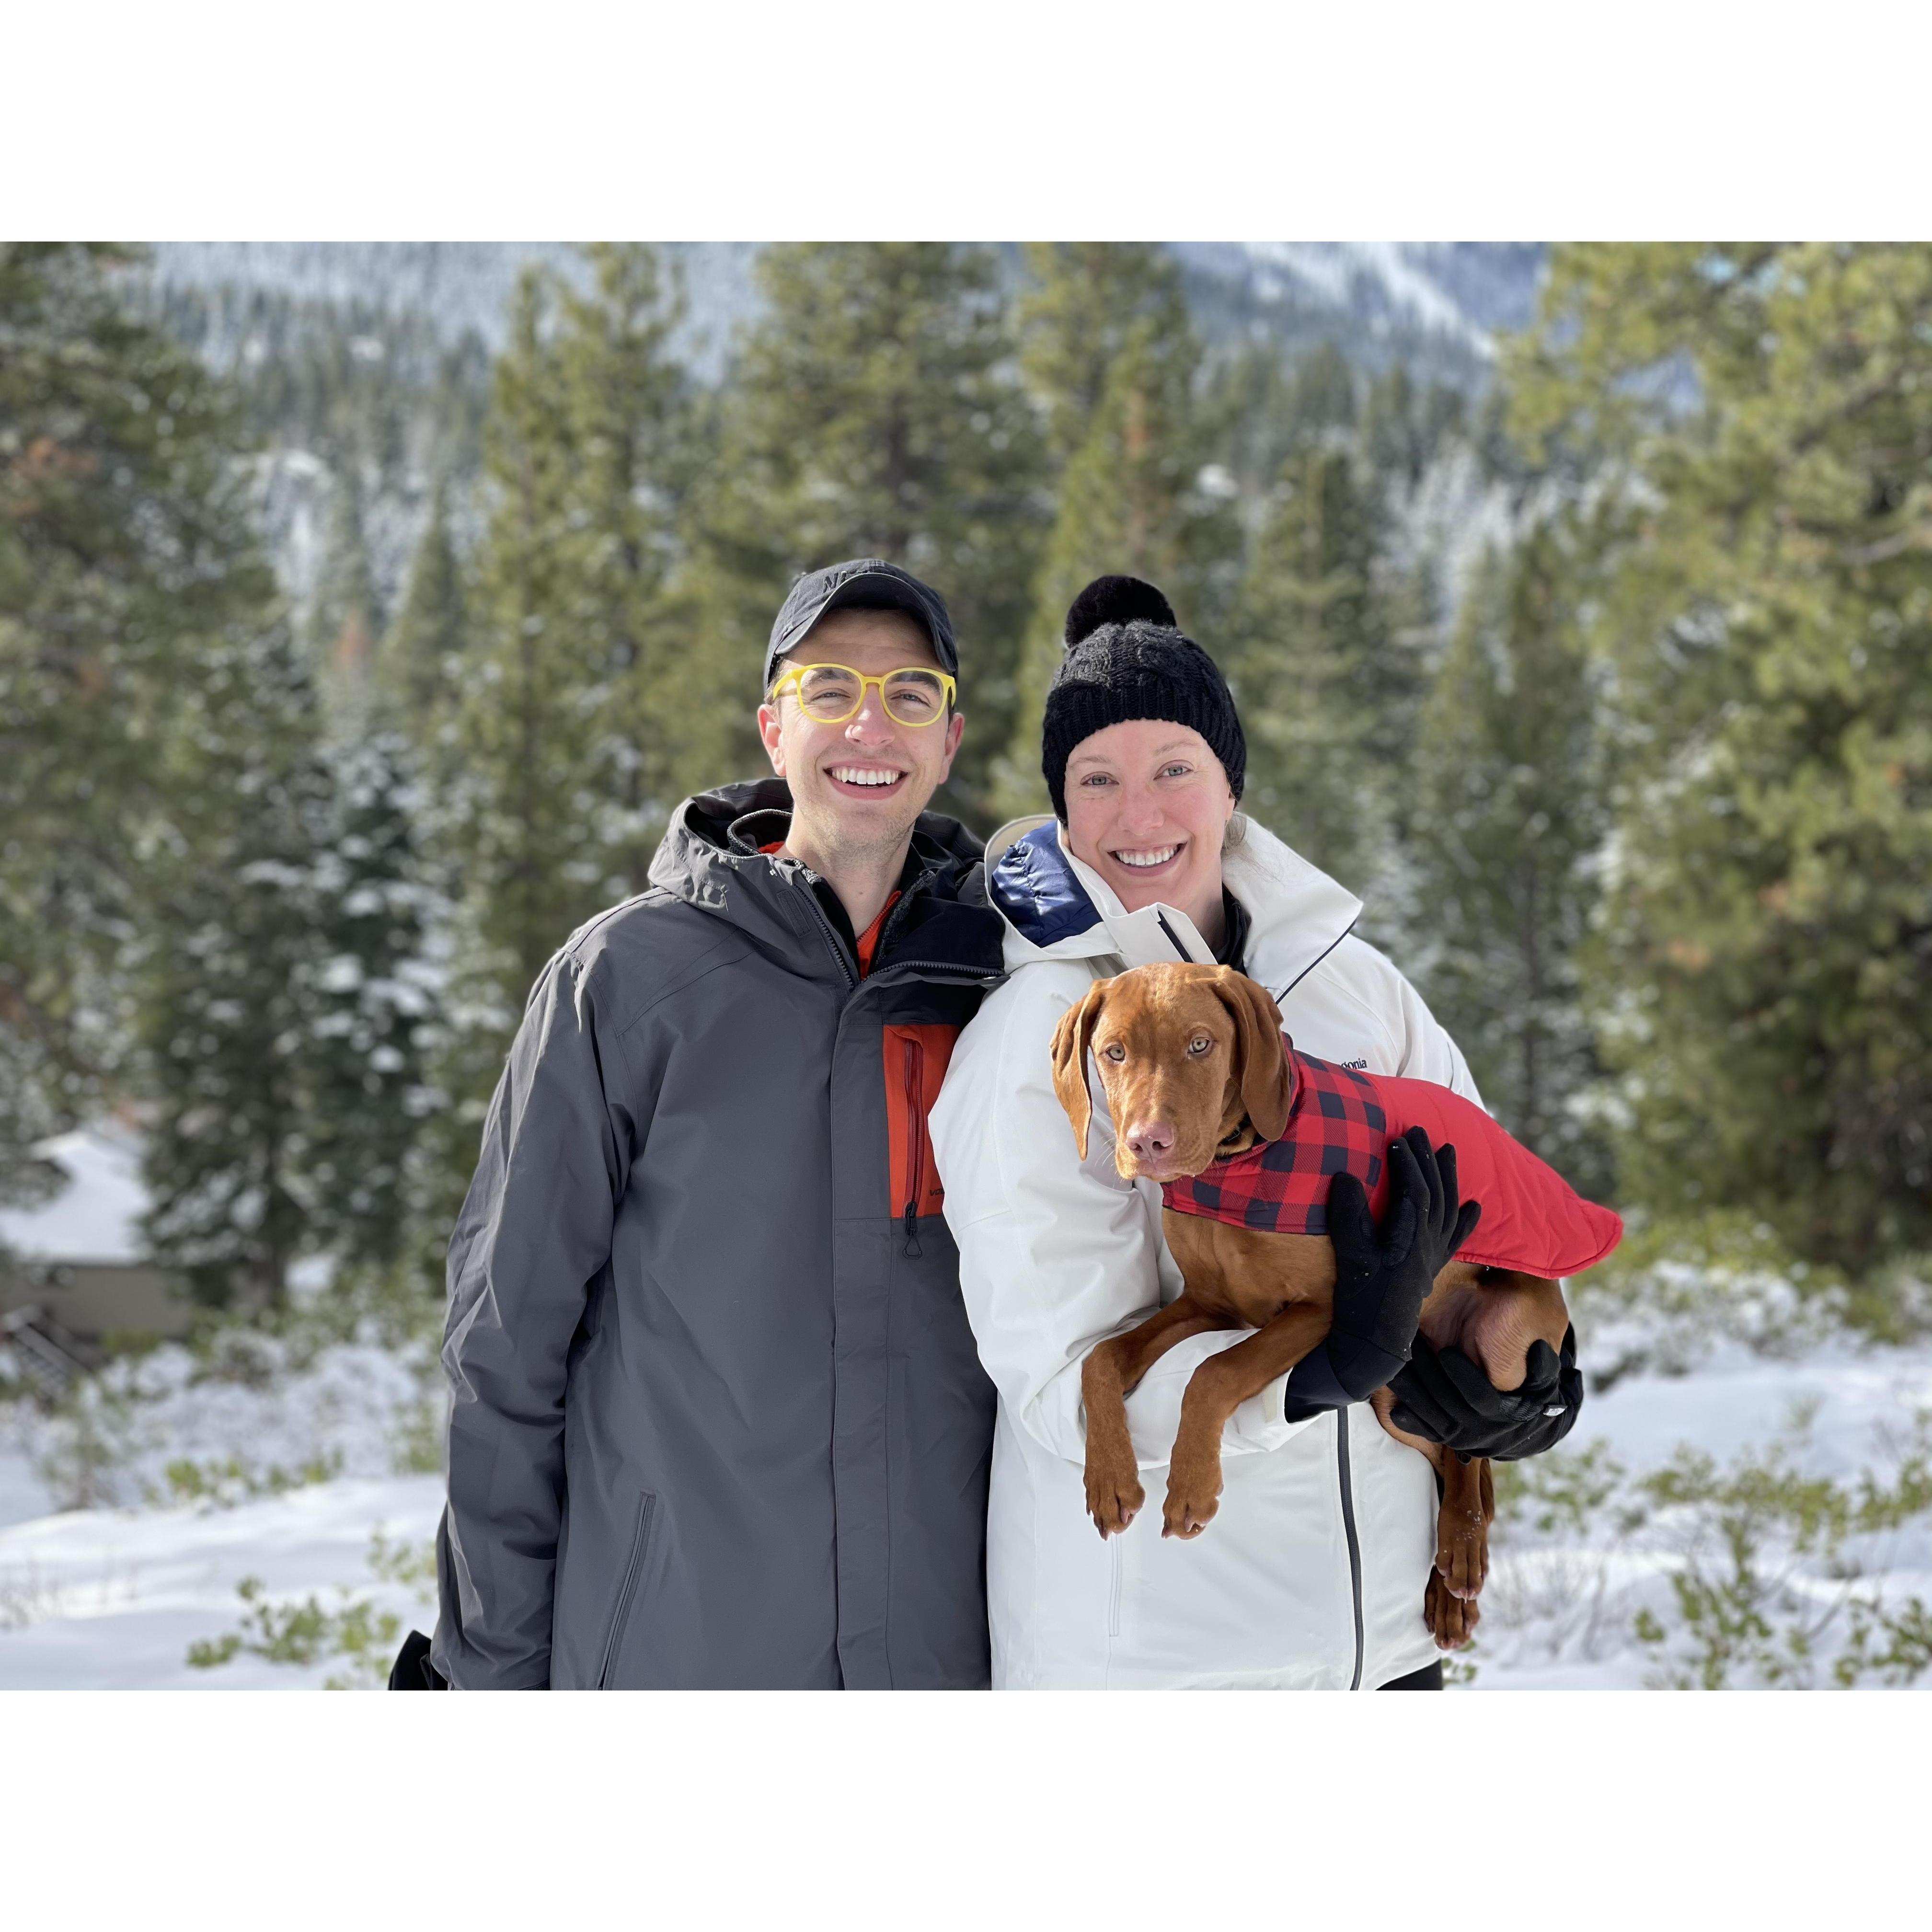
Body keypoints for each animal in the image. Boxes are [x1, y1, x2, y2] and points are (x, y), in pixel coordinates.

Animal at [1051, 962, 1576, 1646]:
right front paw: (1109, 1480)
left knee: (1471, 1450)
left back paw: (1461, 1553)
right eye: (1114, 1053)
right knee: (1453, 1455)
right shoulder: (1207, 1305)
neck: (1235, 1165)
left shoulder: (1330, 1310)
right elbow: (1102, 1360)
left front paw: (1192, 1487)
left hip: (1507, 1340)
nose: (1148, 1144)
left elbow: (1213, 1372)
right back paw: (1448, 1588)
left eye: (1201, 1045)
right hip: (1397, 1395)